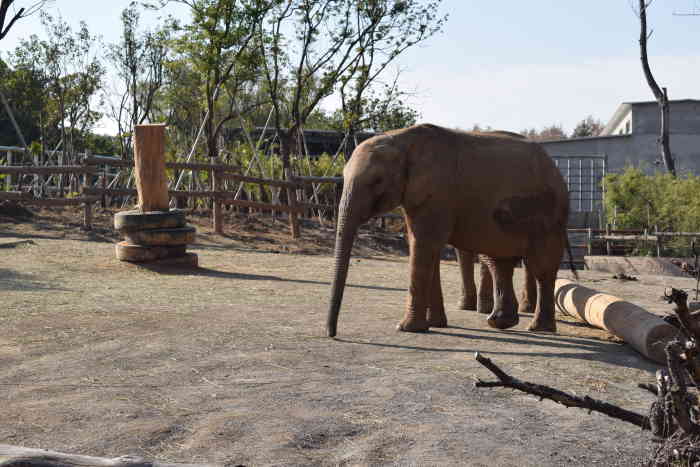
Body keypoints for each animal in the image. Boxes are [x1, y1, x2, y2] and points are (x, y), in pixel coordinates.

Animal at [326, 123, 572, 336]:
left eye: (377, 180)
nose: (332, 333)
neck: (401, 139)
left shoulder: (437, 192)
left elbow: (424, 244)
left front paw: (406, 328)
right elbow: (423, 244)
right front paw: (434, 324)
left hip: (547, 215)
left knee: (541, 267)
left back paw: (538, 328)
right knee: (499, 262)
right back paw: (499, 323)